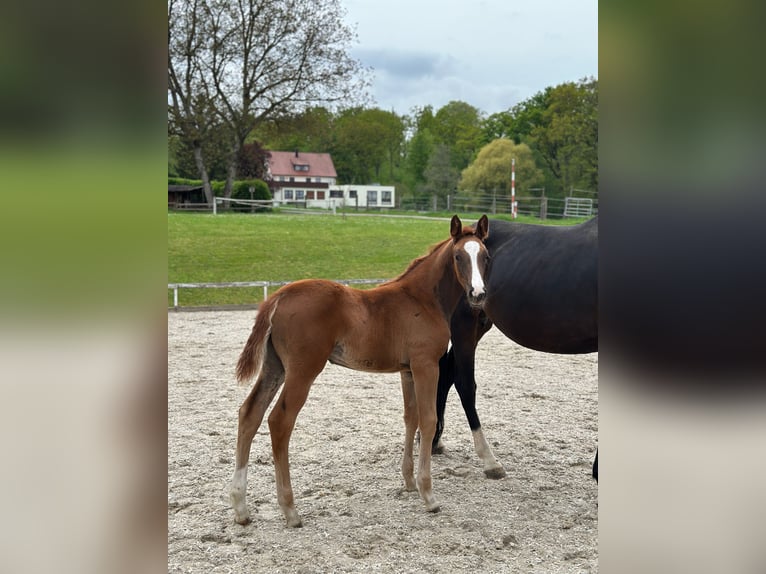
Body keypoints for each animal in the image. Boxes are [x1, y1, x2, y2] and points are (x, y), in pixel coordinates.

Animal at [230, 215, 490, 527]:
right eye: (458, 256)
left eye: (486, 257)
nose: (478, 294)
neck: (423, 299)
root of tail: (278, 296)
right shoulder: (426, 364)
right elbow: (428, 421)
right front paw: (428, 495)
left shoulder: (407, 371)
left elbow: (411, 418)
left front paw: (409, 482)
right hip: (303, 370)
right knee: (279, 421)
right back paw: (290, 510)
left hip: (274, 366)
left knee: (249, 414)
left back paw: (241, 509)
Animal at [433, 216, 598, 480]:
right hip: (463, 326)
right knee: (464, 384)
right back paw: (489, 461)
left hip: (479, 325)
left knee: (446, 373)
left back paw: (433, 441)